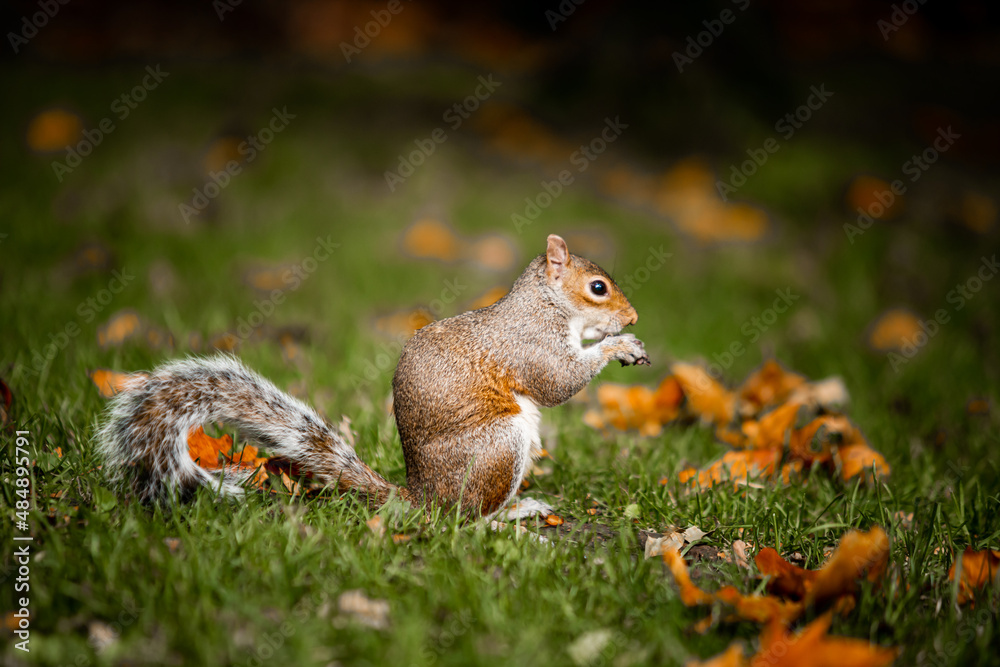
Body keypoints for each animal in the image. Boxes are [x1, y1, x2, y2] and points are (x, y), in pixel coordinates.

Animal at [97, 234, 649, 517]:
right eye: (598, 287)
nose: (634, 318)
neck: (547, 304)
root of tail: (422, 497)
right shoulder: (530, 344)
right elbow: (558, 381)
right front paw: (617, 346)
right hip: (497, 445)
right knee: (463, 520)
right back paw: (503, 523)